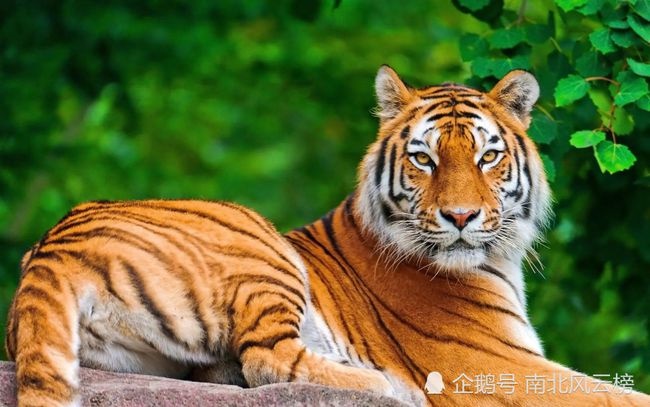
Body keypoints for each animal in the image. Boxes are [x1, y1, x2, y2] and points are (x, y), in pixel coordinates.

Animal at [5, 66, 650, 407]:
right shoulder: (493, 364)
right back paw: (385, 385)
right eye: (424, 158)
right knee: (267, 359)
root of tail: (51, 247)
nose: (461, 218)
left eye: (488, 157)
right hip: (260, 245)